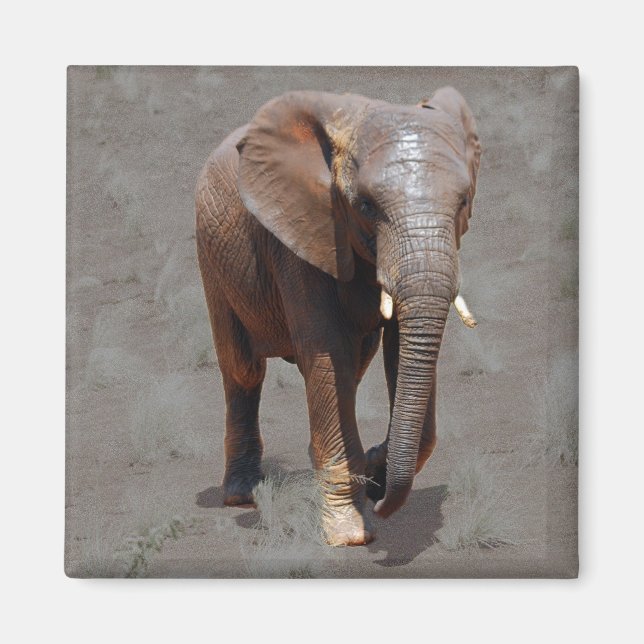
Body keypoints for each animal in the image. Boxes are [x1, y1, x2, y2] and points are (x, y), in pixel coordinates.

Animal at [195, 87, 481, 546]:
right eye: (365, 205)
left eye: (464, 202)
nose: (382, 502)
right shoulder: (302, 231)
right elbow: (328, 355)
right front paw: (349, 534)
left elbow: (399, 356)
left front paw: (375, 472)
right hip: (211, 255)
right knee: (243, 369)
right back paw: (242, 494)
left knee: (357, 363)